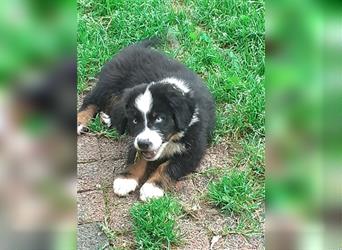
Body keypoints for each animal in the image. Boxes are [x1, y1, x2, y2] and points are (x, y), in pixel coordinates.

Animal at [79, 38, 215, 200]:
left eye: (159, 119)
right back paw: (80, 121)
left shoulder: (194, 149)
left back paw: (109, 118)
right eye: (135, 121)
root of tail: (136, 47)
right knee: (91, 100)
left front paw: (152, 187)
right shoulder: (136, 138)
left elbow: (168, 166)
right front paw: (126, 179)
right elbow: (137, 157)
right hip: (108, 82)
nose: (144, 143)